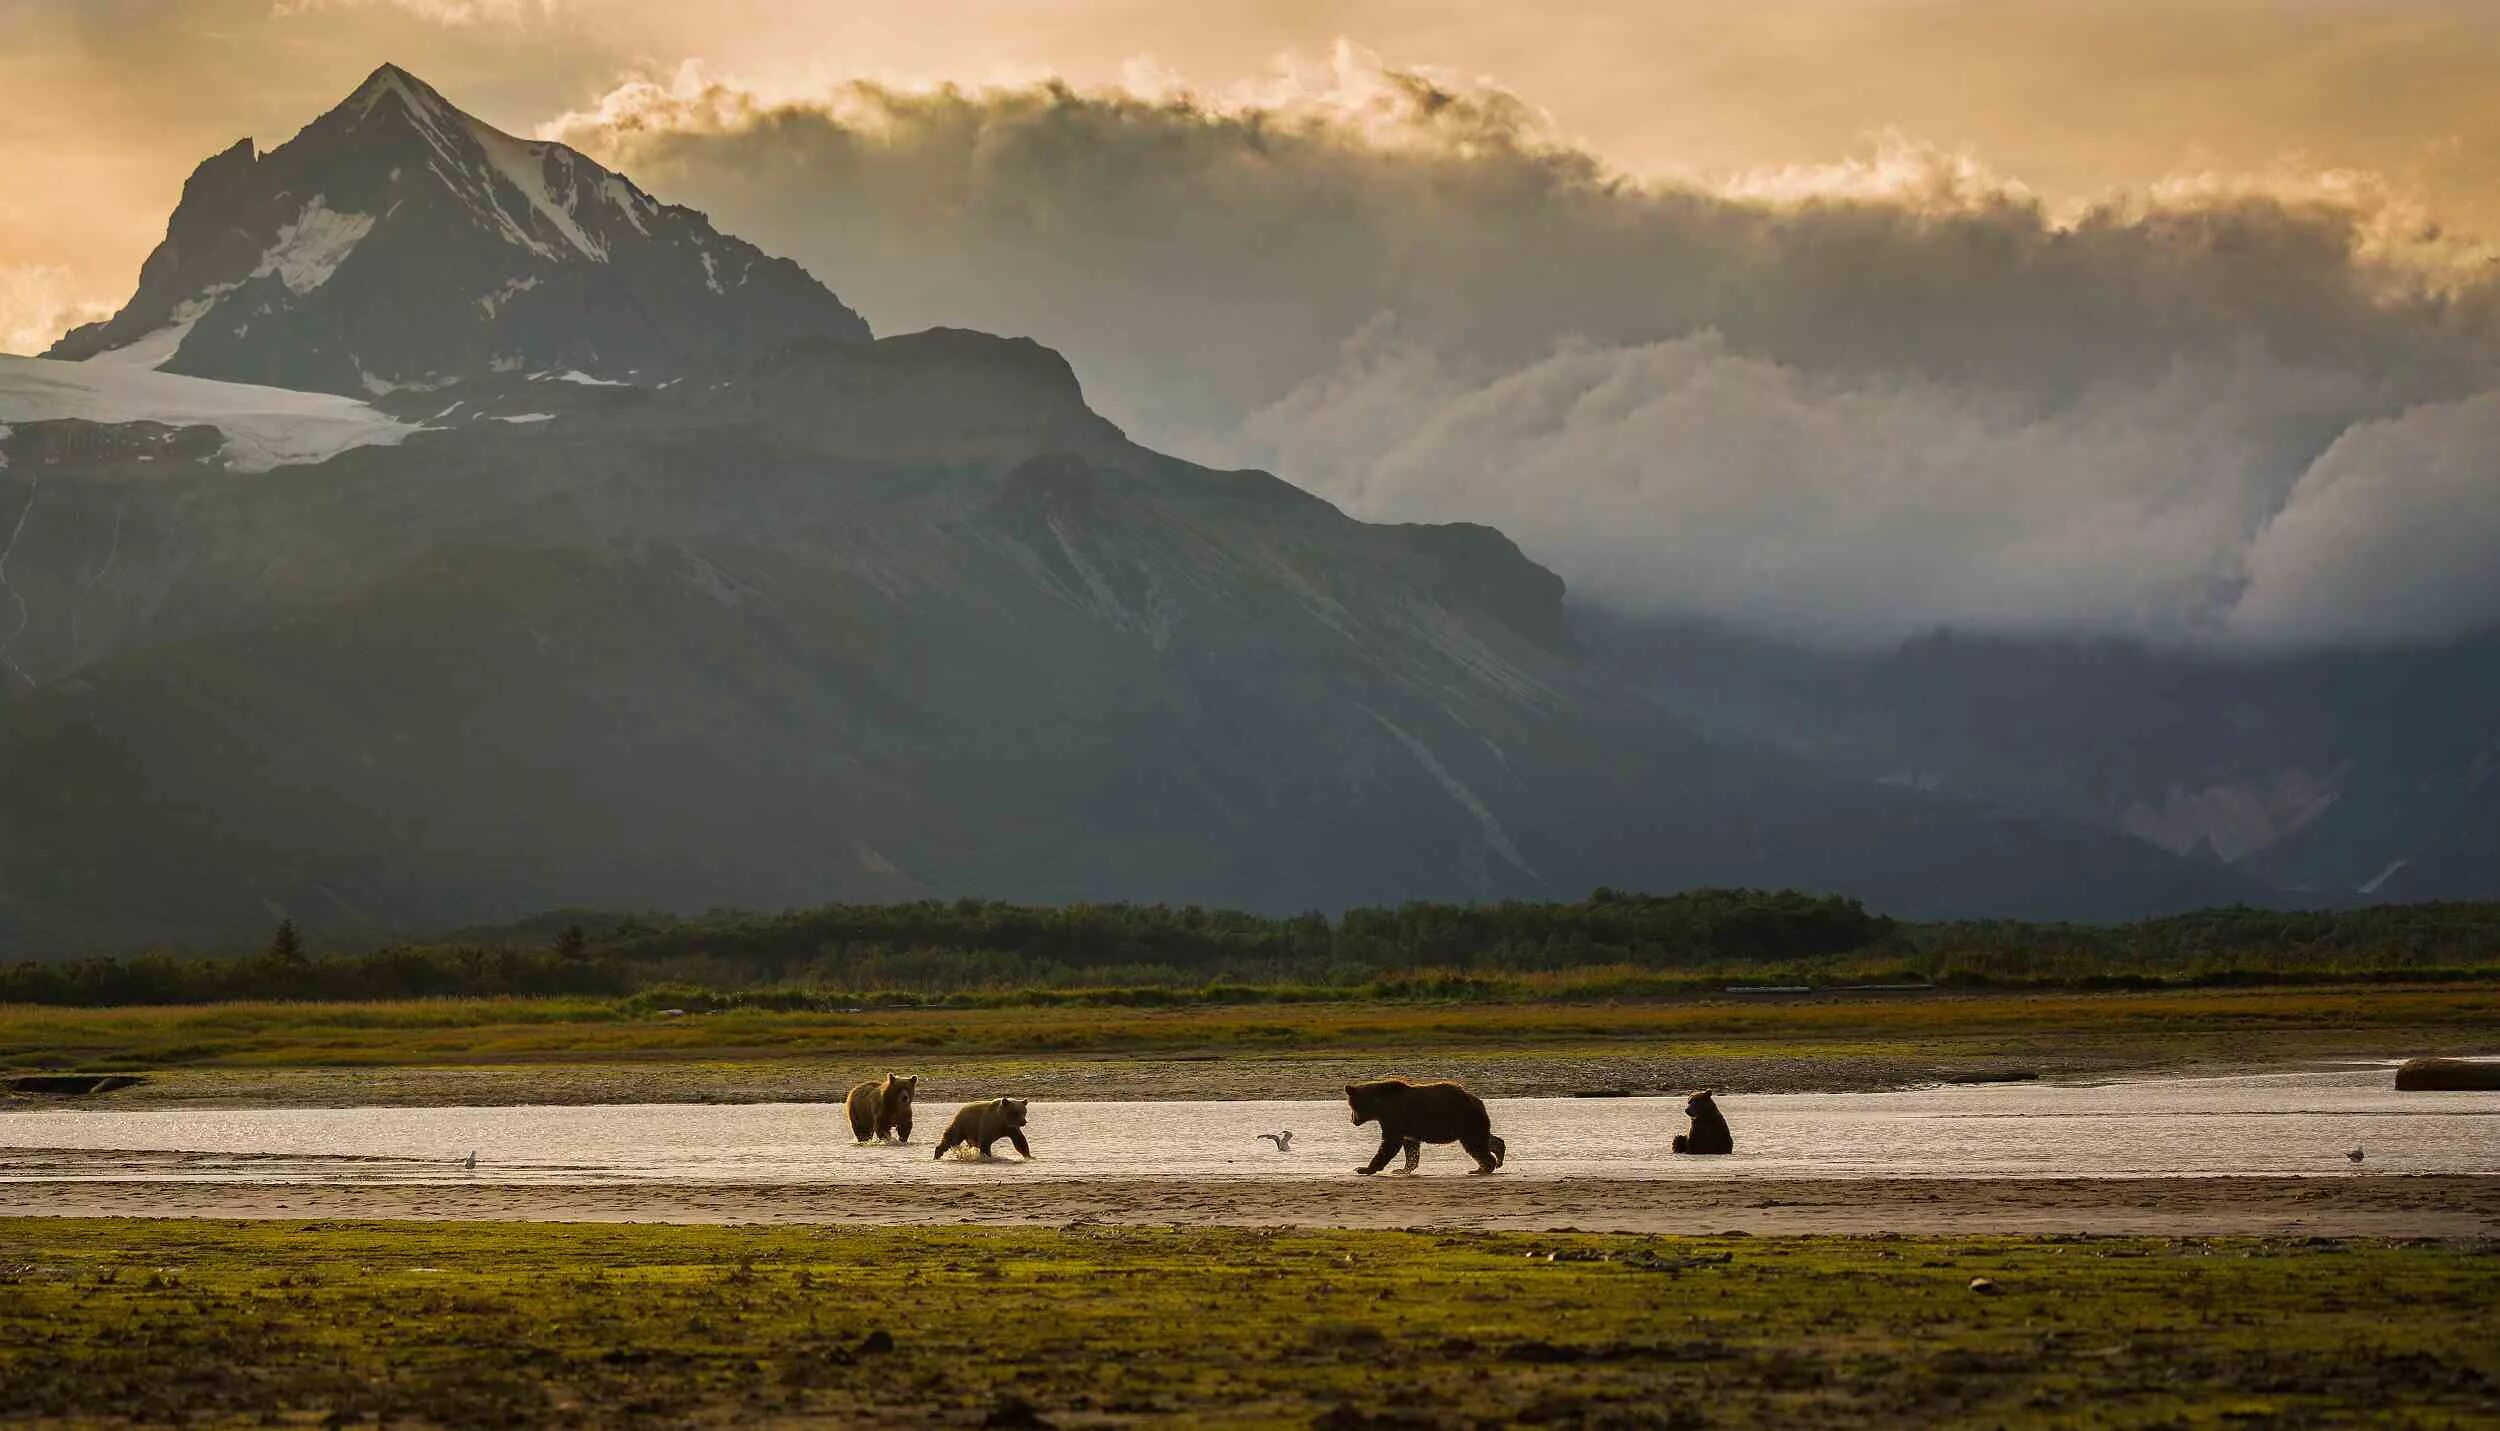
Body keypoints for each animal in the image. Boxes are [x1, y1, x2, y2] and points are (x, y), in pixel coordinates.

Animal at [1350, 1070, 1500, 1175]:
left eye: (1352, 1106)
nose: (1352, 1120)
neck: (1380, 1107)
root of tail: (1478, 1101)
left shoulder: (1394, 1117)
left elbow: (1389, 1143)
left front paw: (1363, 1168)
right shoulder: (1406, 1126)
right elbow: (1410, 1147)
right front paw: (1402, 1169)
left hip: (1464, 1118)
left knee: (1474, 1144)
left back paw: (1483, 1167)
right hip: (1470, 1122)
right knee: (1484, 1139)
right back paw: (1495, 1156)